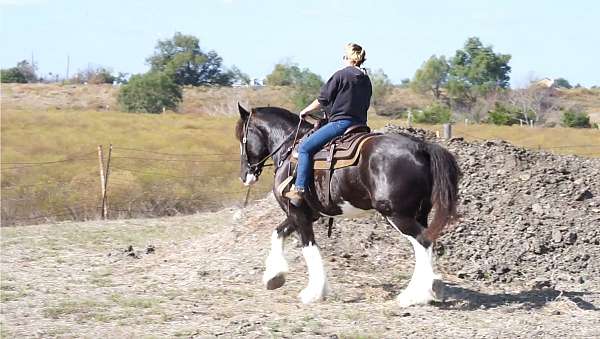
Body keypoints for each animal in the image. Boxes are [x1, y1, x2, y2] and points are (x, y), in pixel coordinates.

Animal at [234, 104, 460, 308]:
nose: (245, 175)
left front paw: (314, 292)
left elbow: (309, 248)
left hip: (397, 215)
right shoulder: (304, 214)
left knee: (423, 241)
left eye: (242, 139)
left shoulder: (299, 213)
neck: (291, 148)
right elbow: (277, 233)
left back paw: (414, 296)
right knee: (425, 243)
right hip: (419, 213)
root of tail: (422, 148)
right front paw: (274, 277)